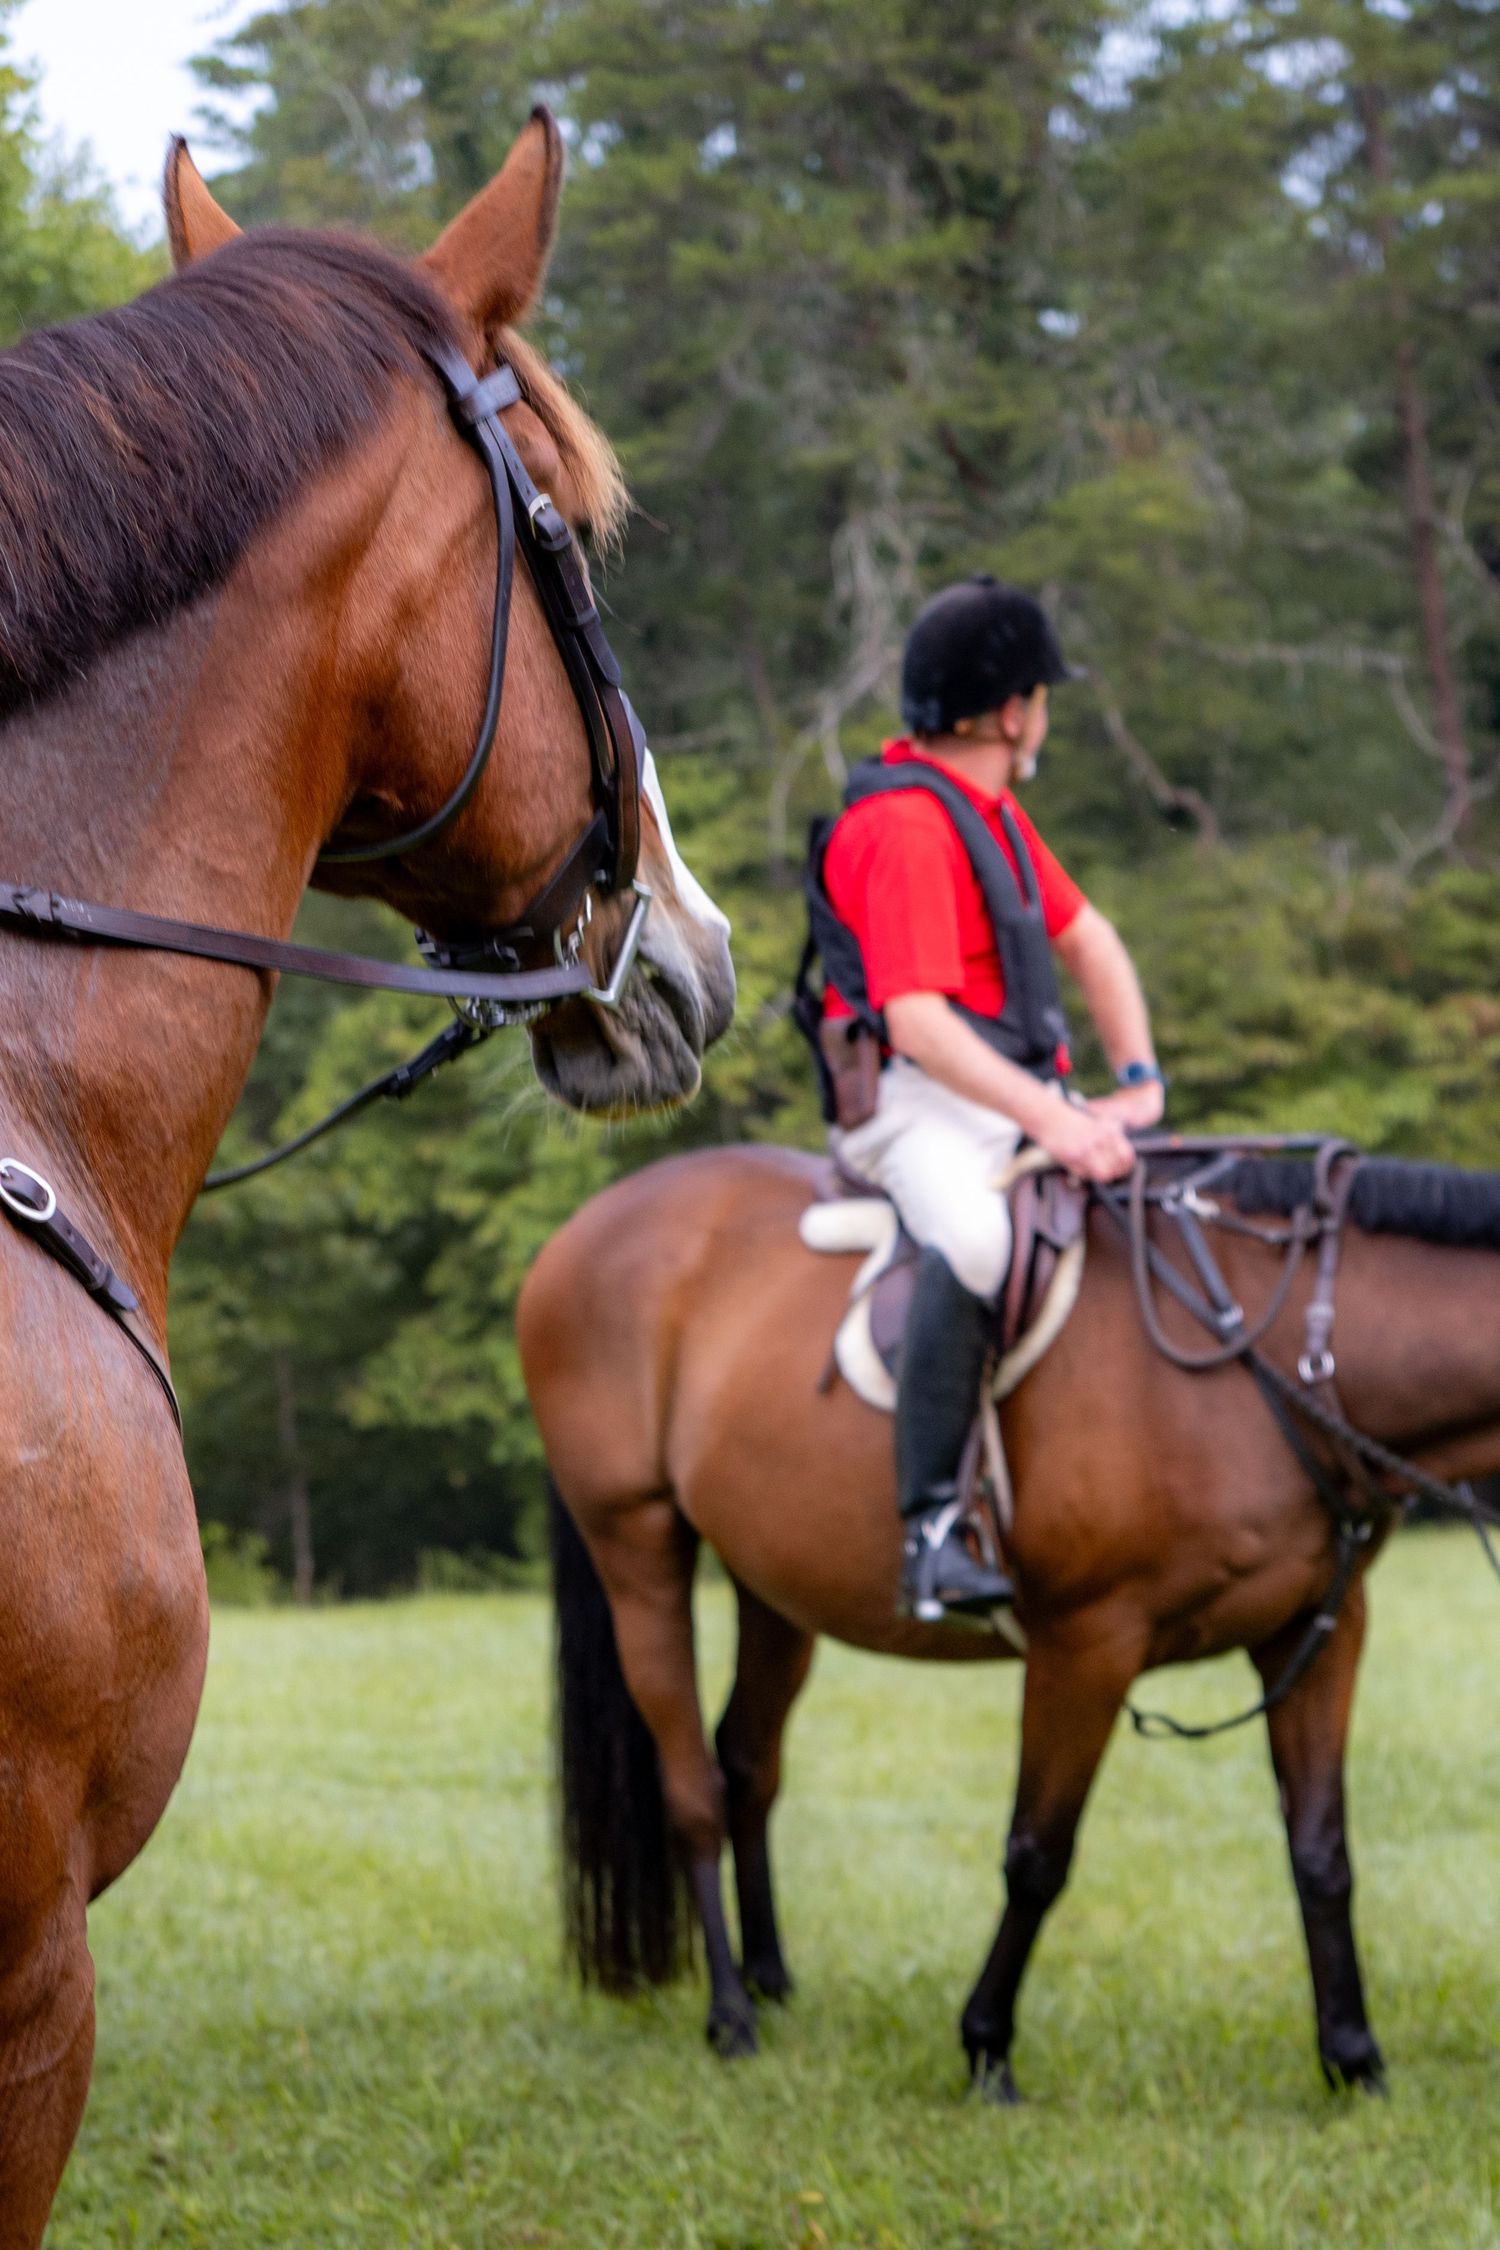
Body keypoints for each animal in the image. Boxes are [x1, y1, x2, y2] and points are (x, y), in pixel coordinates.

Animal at [519, 1139, 1500, 2100]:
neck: (1281, 1336)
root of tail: (583, 1228)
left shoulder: (1317, 1632)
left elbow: (1321, 1852)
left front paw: (1353, 2059)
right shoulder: (1086, 1644)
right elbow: (1038, 1854)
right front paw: (987, 2049)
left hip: (773, 1584)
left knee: (746, 1765)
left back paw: (770, 1979)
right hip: (638, 1551)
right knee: (693, 1790)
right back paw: (731, 2017)